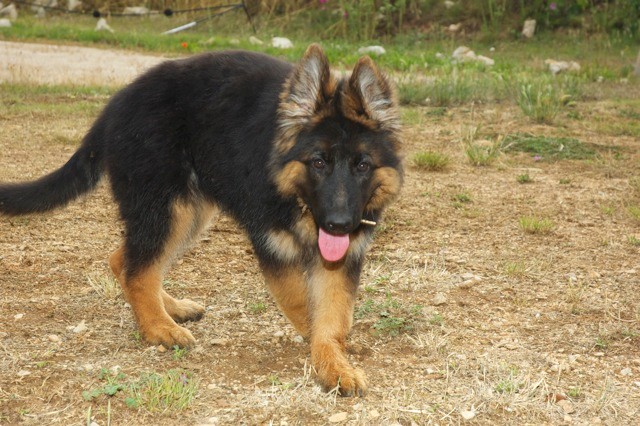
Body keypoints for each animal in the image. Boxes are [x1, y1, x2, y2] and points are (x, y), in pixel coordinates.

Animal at [0, 44, 400, 396]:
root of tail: (115, 104)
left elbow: (333, 315)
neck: (296, 197)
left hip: (187, 212)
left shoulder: (341, 260)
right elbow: (304, 305)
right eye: (318, 162)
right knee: (137, 269)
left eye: (362, 165)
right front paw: (319, 348)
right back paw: (158, 327)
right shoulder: (273, 248)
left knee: (125, 260)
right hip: (169, 209)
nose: (339, 224)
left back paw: (169, 309)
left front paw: (335, 364)